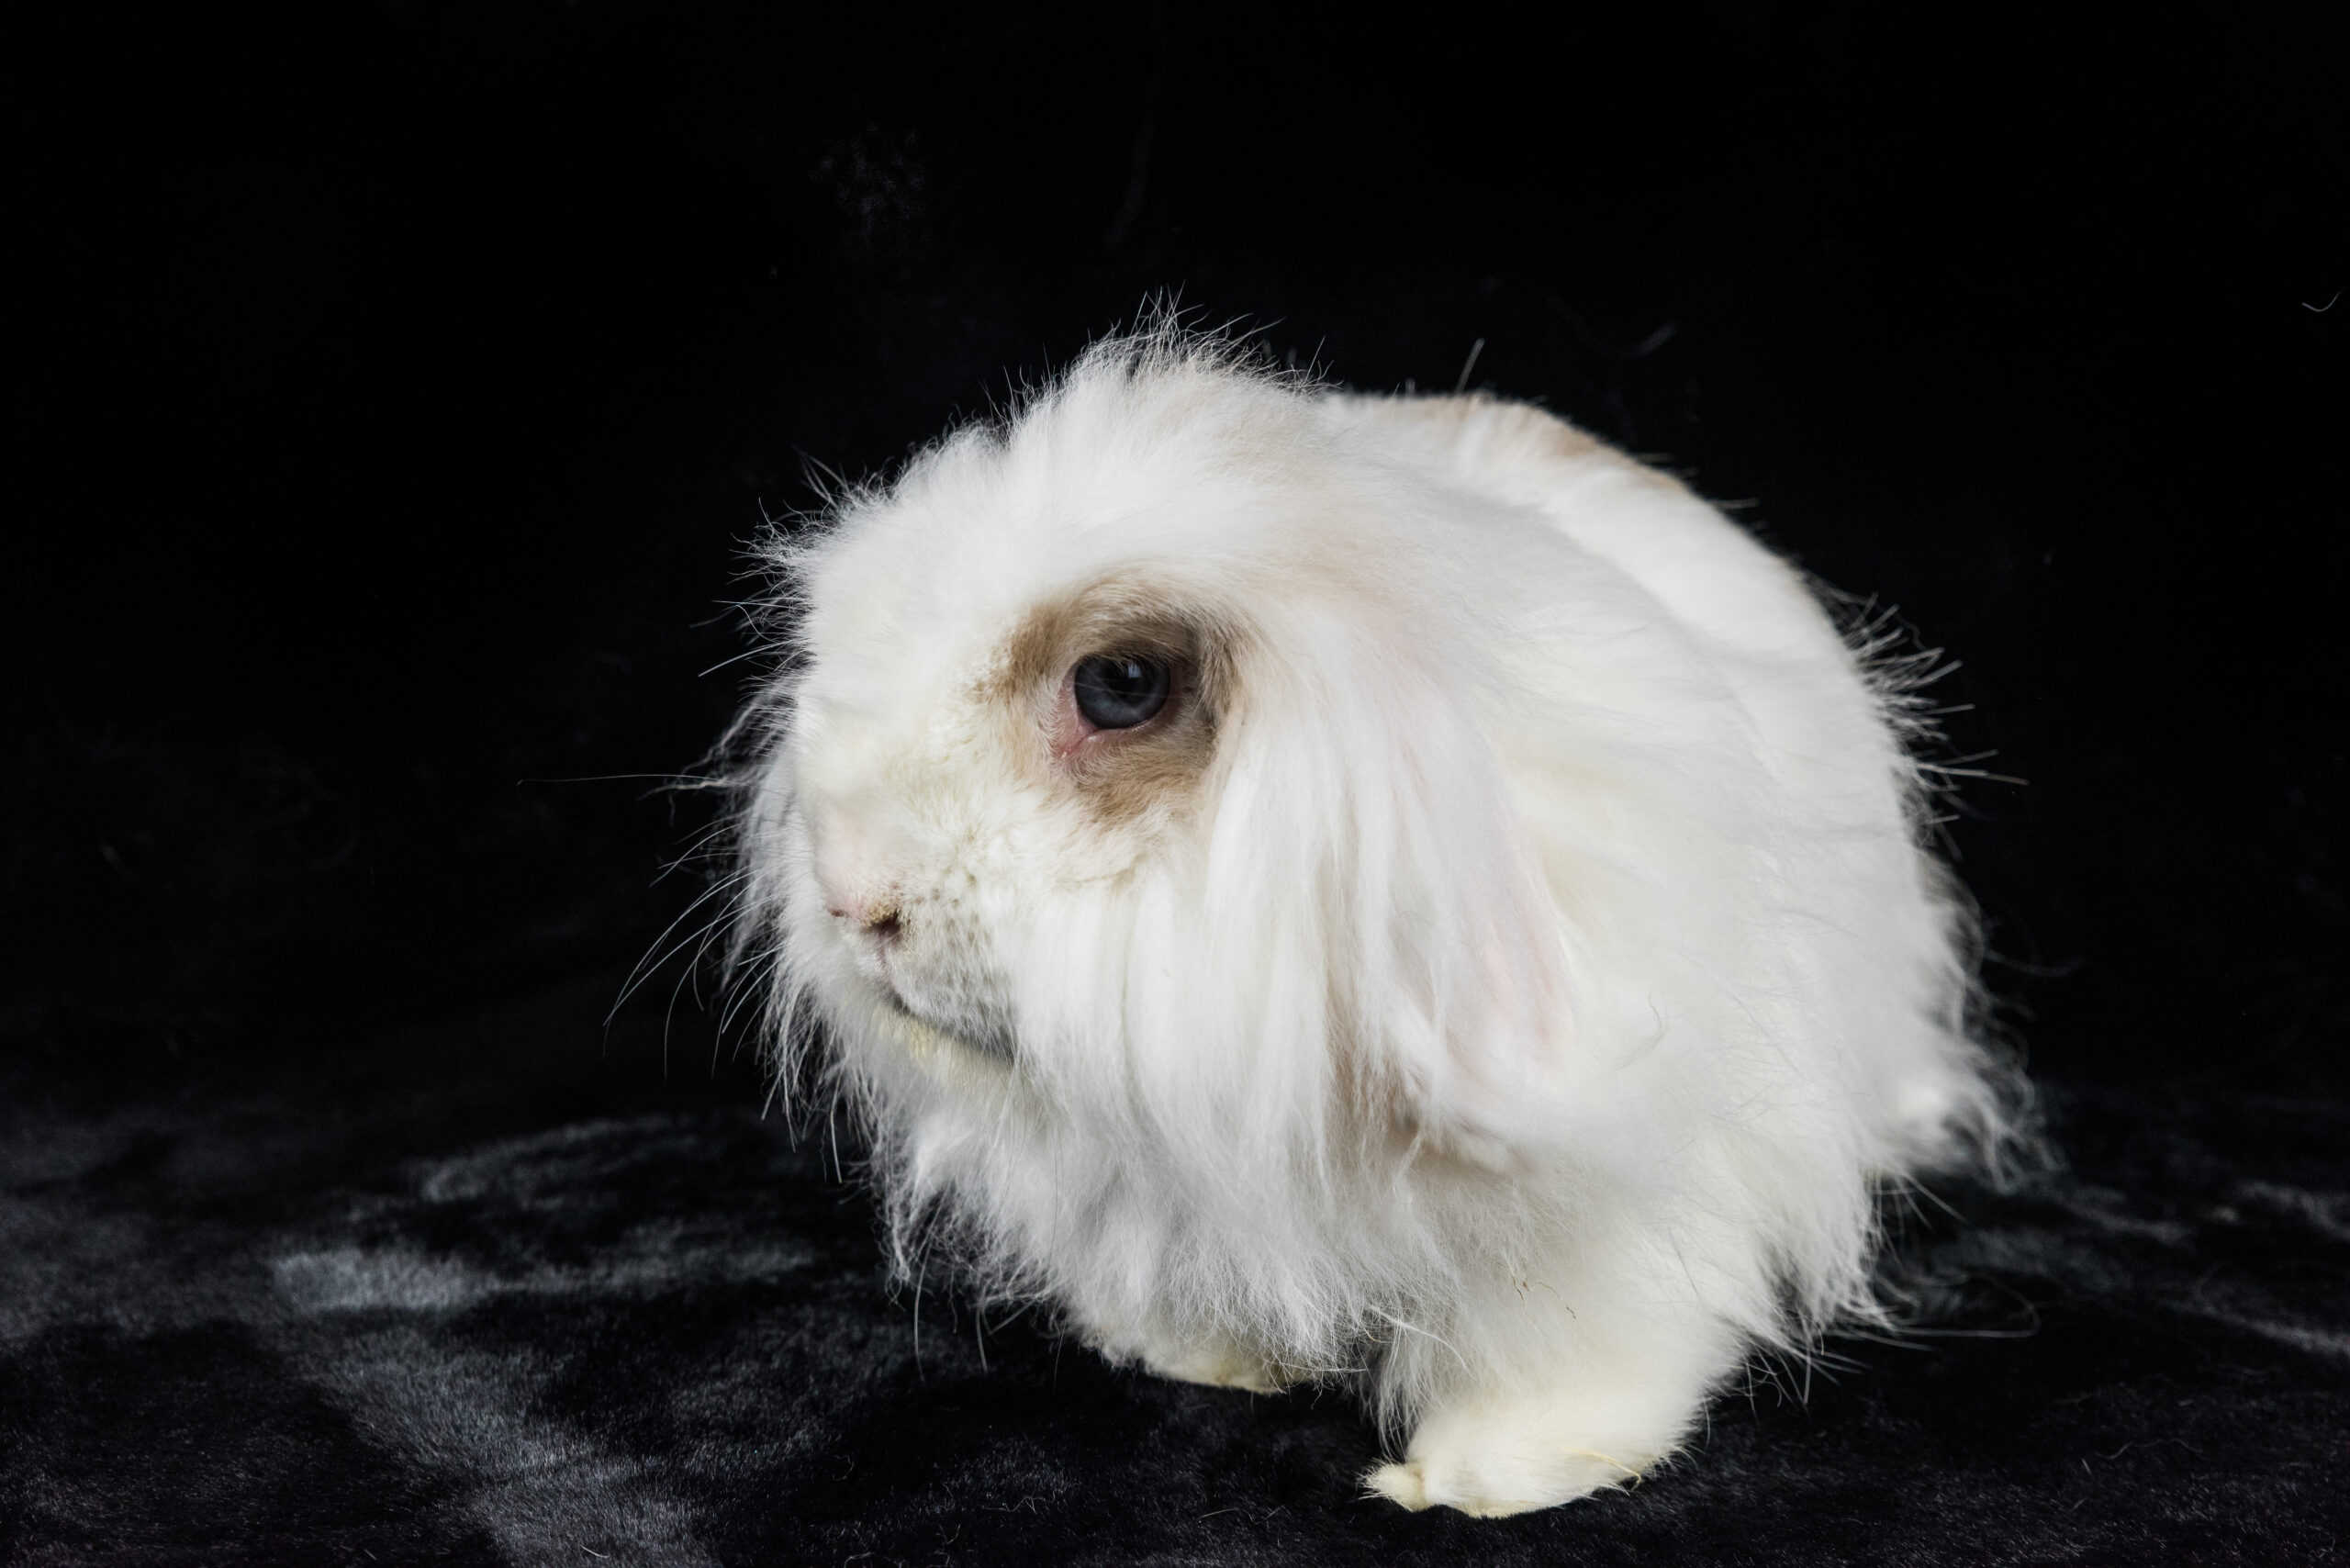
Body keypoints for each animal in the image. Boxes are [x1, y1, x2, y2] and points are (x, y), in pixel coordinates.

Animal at [723, 321, 2030, 1523]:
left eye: (1122, 685)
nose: (851, 895)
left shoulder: (1622, 1204)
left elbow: (1564, 1345)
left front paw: (1482, 1479)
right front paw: (1197, 1361)